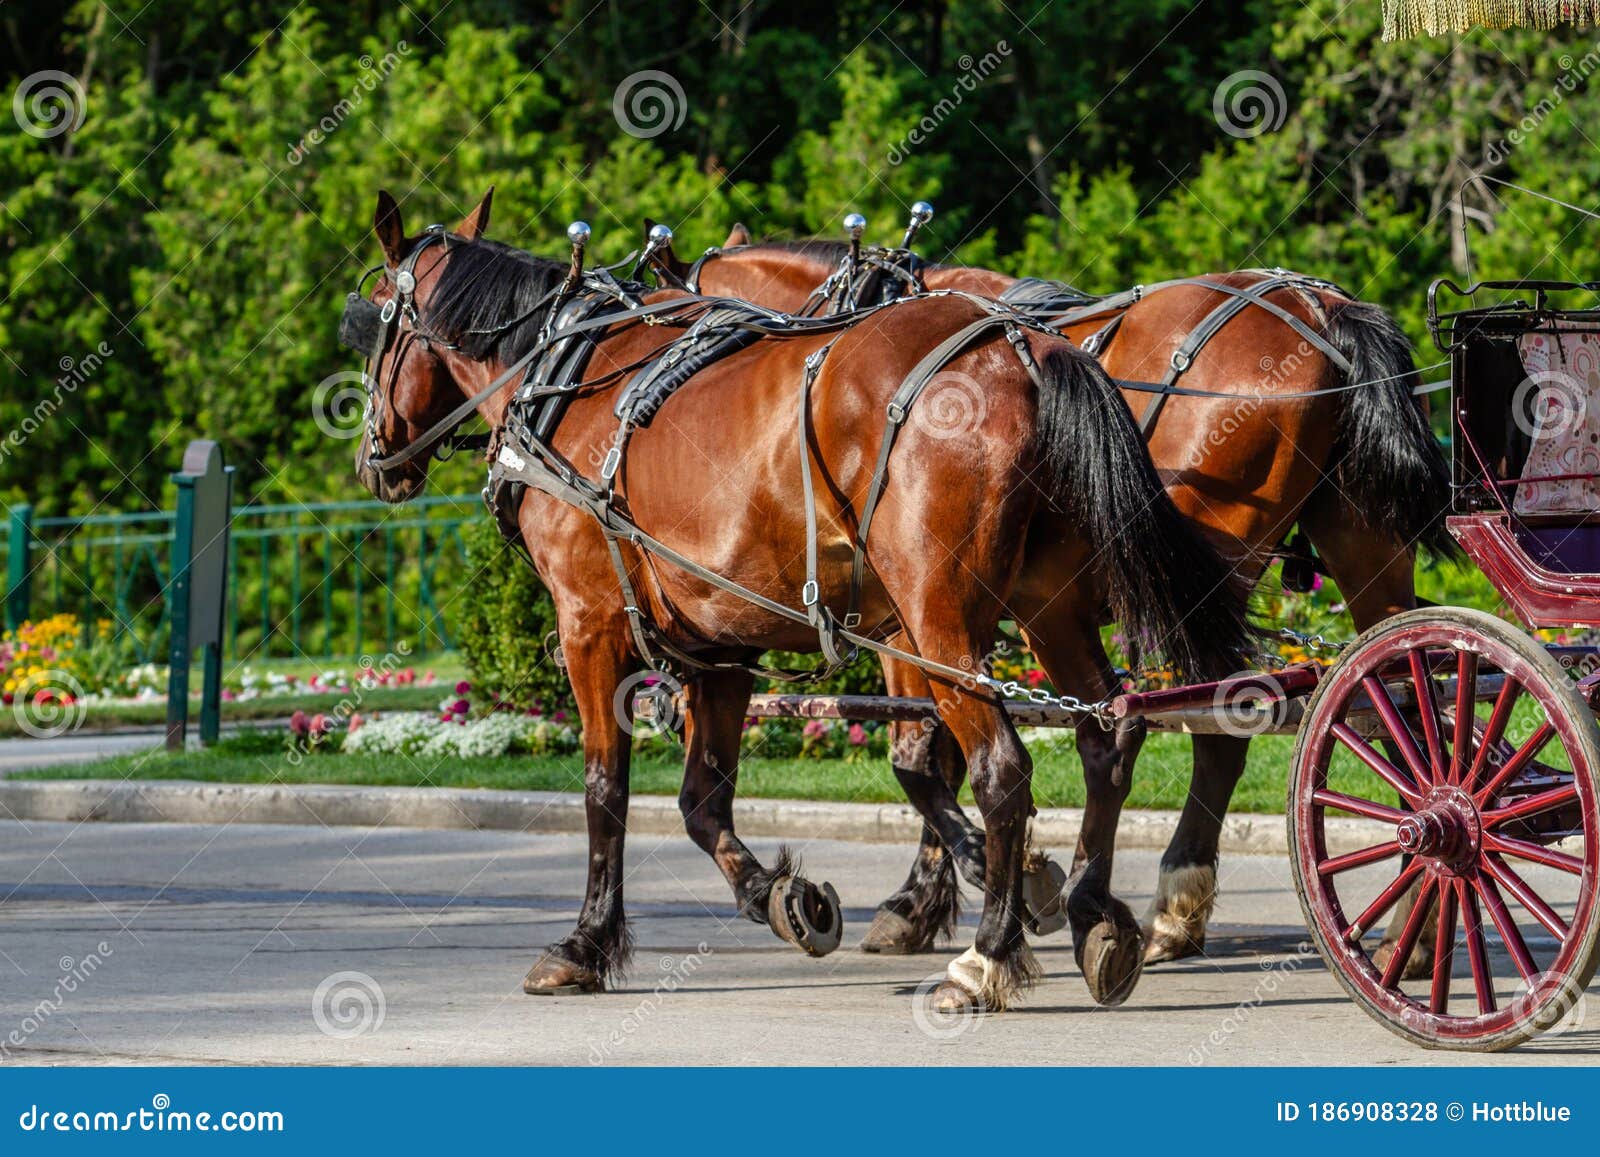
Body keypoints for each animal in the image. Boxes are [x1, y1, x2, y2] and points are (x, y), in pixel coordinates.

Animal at [347, 190, 1248, 1011]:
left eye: (372, 325)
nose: (372, 459)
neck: (564, 378)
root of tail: (1023, 348)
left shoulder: (589, 625)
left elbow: (606, 790)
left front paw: (585, 943)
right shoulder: (719, 644)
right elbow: (702, 801)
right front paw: (786, 898)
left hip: (941, 621)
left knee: (1004, 769)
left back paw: (986, 956)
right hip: (1044, 606)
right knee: (1108, 733)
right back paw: (1100, 915)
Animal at [656, 224, 1459, 966]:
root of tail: (1318, 308)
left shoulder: (909, 620)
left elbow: (920, 758)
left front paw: (946, 897)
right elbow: (947, 754)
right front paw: (947, 894)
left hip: (1198, 586)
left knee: (1225, 727)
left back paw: (1175, 904)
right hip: (1364, 550)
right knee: (1405, 707)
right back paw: (1414, 924)